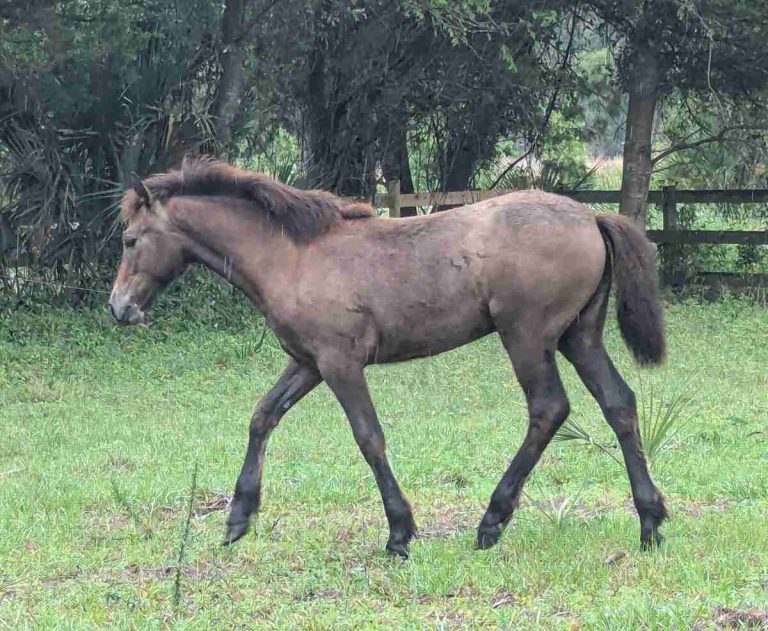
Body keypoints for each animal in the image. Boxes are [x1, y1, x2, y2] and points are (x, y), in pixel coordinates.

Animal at [109, 156, 668, 558]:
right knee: (619, 404)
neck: (293, 256)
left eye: (130, 239)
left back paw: (491, 522)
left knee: (549, 408)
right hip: (580, 336)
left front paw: (399, 533)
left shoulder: (340, 364)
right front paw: (238, 518)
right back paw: (650, 523)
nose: (119, 308)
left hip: (527, 337)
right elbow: (262, 417)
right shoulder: (307, 363)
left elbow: (369, 438)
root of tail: (591, 214)